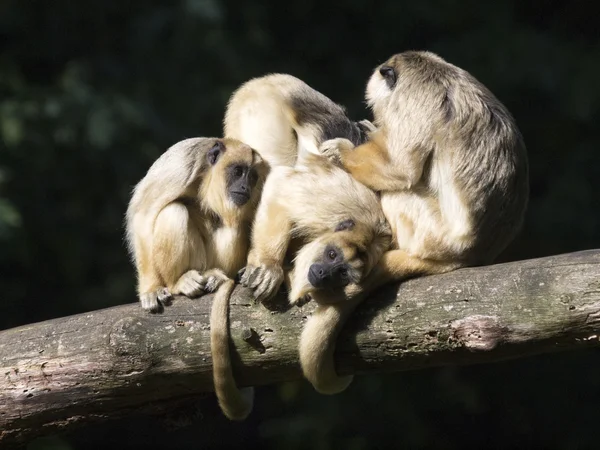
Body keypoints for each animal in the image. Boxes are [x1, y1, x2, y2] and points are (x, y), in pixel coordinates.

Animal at [125, 137, 268, 422]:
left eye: (252, 176)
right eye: (238, 171)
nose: (245, 186)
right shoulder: (181, 166)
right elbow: (144, 215)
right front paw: (150, 289)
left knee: (232, 225)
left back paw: (215, 276)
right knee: (174, 211)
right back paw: (180, 282)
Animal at [314, 51, 528, 392]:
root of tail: (472, 255)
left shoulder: (412, 97)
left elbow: (399, 168)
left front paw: (342, 151)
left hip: (431, 233)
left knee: (397, 193)